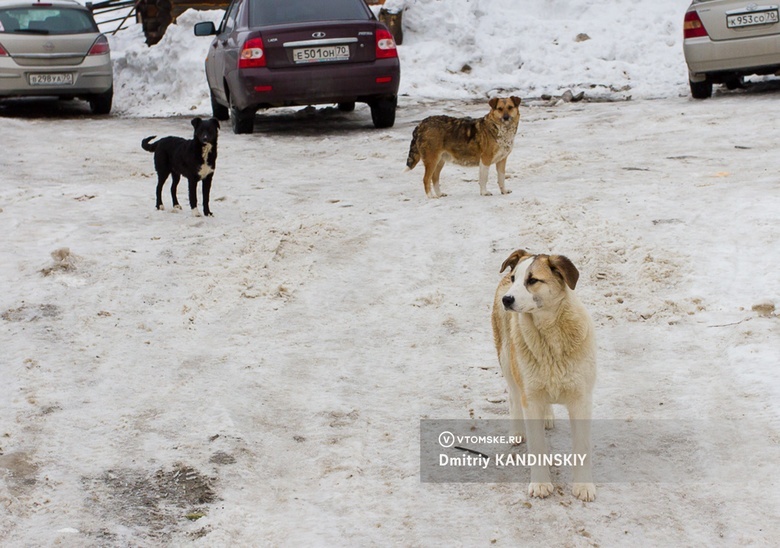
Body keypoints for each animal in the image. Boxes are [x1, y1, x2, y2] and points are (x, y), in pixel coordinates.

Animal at [494, 248, 596, 500]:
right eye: (514, 279)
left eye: (532, 280)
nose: (506, 299)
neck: (550, 335)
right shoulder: (530, 398)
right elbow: (537, 446)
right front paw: (540, 484)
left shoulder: (581, 399)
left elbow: (582, 446)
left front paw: (583, 486)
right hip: (507, 358)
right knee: (513, 396)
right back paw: (517, 431)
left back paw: (548, 415)